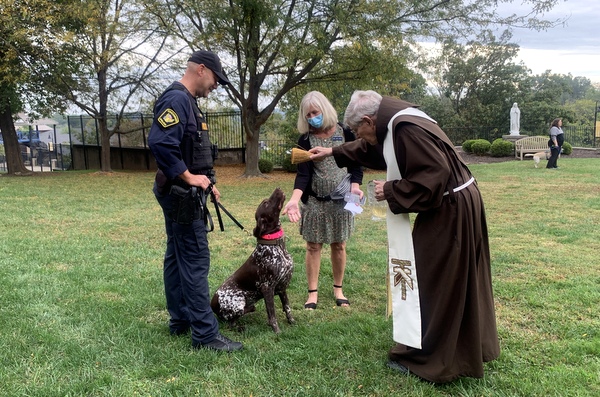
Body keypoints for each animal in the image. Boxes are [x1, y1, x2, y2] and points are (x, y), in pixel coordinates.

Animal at [211, 187, 296, 332]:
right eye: (266, 203)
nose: (278, 188)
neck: (275, 245)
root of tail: (212, 304)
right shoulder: (267, 288)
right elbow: (272, 315)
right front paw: (277, 331)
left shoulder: (282, 286)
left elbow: (287, 307)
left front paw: (292, 322)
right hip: (238, 302)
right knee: (231, 322)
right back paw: (243, 323)